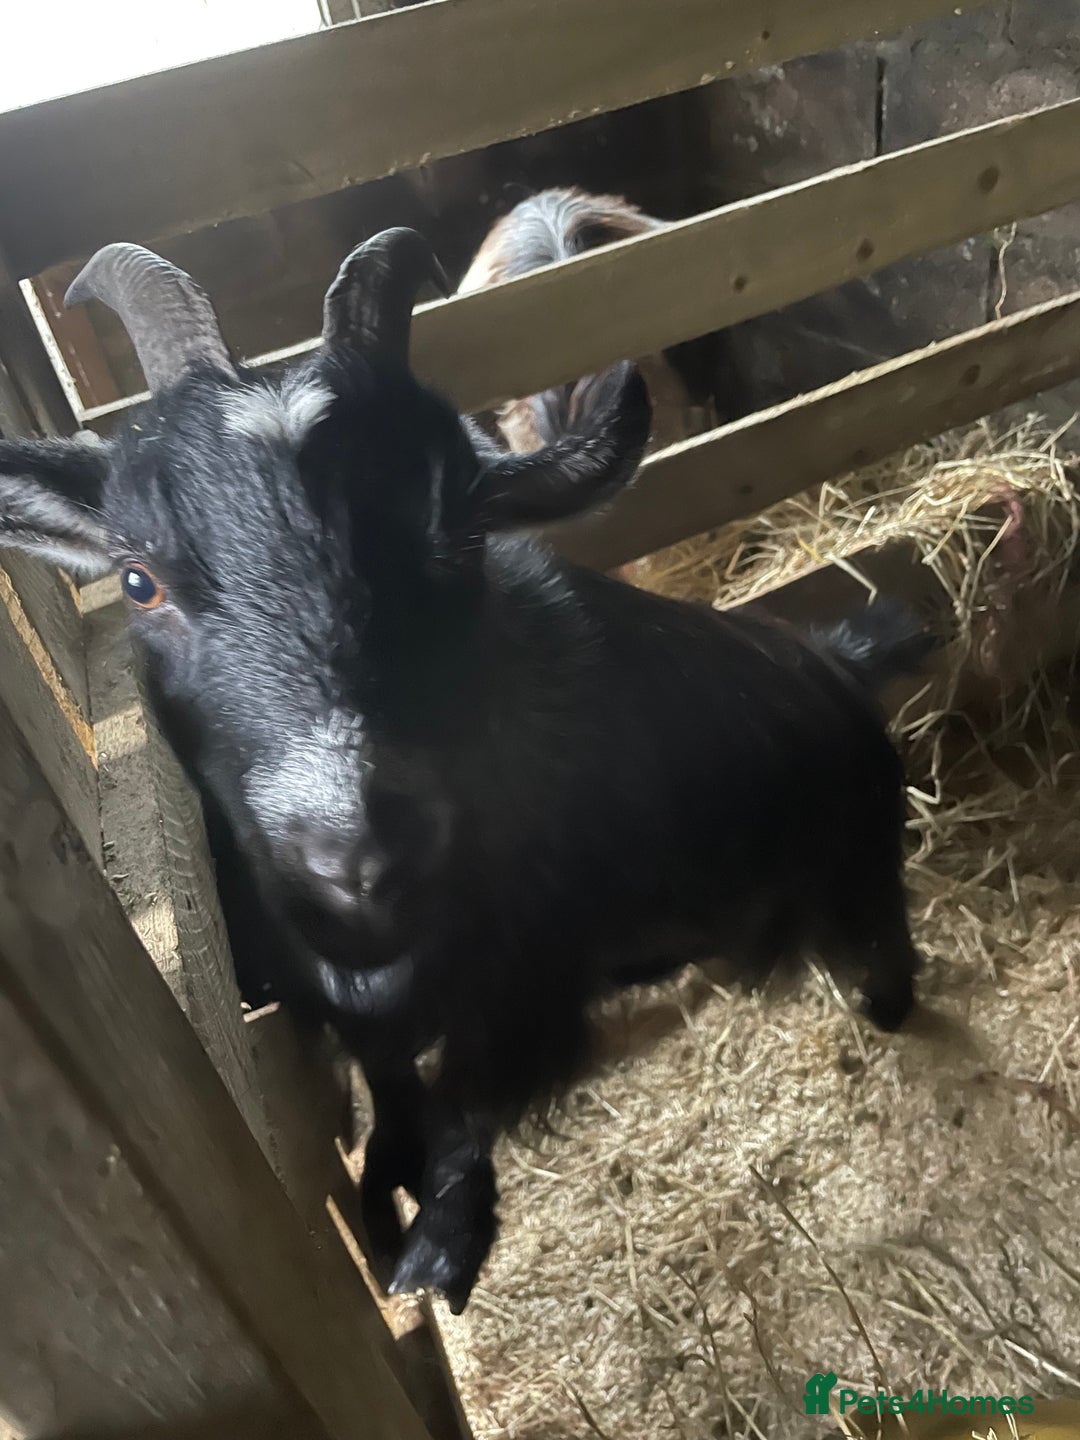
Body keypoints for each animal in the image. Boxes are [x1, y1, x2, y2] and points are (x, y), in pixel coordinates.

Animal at [0, 232, 931, 1313]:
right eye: (139, 580)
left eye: (459, 538)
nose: (353, 850)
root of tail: (835, 658)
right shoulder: (349, 996)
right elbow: (395, 1084)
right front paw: (379, 1194)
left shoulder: (529, 977)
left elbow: (466, 1107)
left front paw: (439, 1247)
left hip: (855, 856)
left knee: (880, 928)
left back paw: (890, 1007)